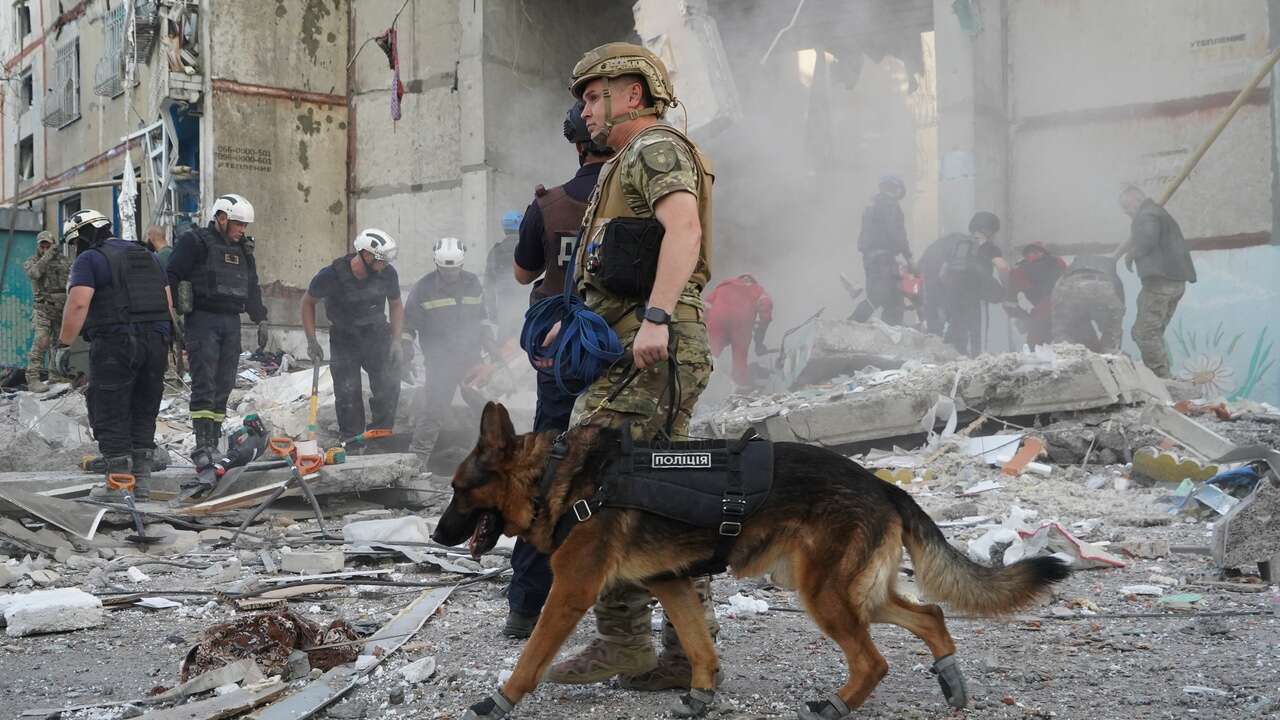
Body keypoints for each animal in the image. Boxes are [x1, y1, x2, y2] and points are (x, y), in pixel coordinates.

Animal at [435, 404, 1064, 717]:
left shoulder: (571, 593)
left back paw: (838, 705)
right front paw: (702, 695)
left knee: (874, 659)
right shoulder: (672, 586)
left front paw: (500, 700)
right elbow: (698, 645)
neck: (556, 477)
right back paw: (951, 679)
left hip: (824, 595)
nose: (438, 536)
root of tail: (882, 484)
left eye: (459, 490)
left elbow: (531, 656)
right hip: (854, 593)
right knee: (928, 615)